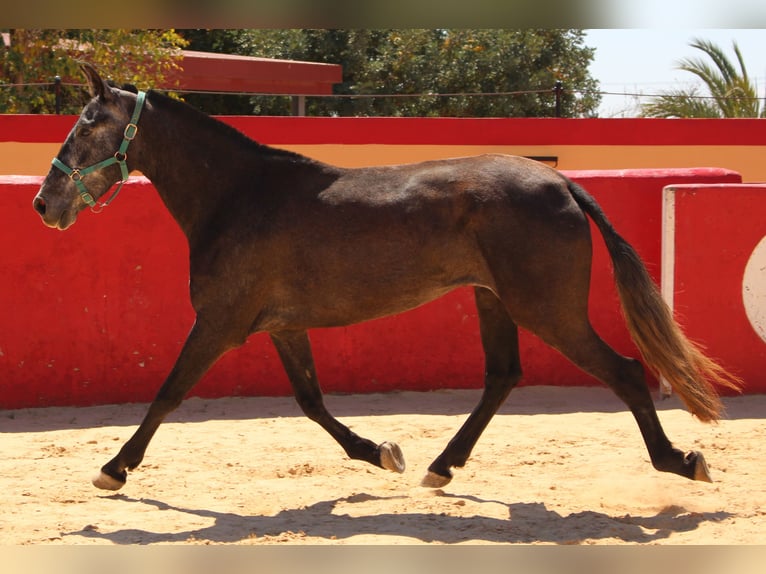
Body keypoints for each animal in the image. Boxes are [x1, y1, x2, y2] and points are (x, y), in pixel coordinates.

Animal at [33, 64, 740, 496]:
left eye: (87, 125)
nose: (44, 204)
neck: (236, 197)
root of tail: (561, 180)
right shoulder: (282, 327)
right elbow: (312, 402)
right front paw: (380, 452)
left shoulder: (219, 324)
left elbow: (167, 395)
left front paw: (114, 469)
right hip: (494, 301)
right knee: (503, 376)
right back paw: (439, 467)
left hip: (547, 309)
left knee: (624, 370)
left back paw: (680, 460)